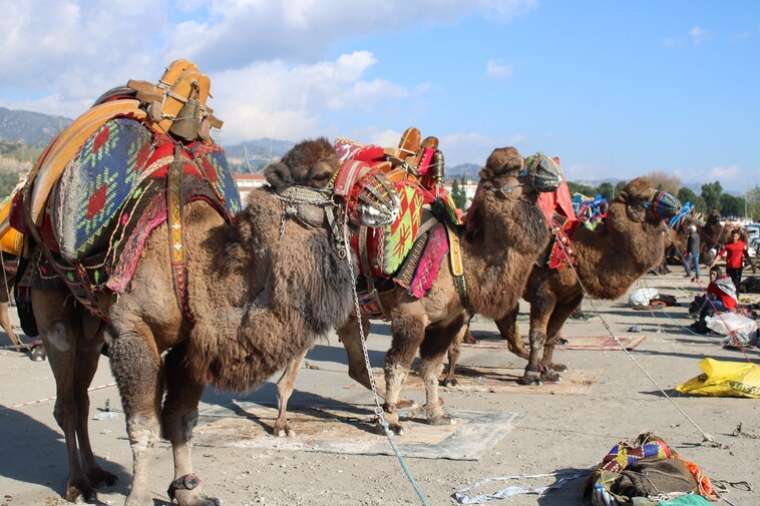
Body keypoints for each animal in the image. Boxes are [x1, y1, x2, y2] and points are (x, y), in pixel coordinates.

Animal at [27, 136, 394, 504]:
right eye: (321, 174)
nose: (384, 192)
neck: (196, 269)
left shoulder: (191, 343)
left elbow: (181, 418)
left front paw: (188, 491)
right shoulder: (132, 329)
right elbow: (144, 423)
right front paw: (140, 497)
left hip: (90, 329)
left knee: (82, 397)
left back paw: (97, 474)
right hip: (51, 305)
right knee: (67, 399)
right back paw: (78, 483)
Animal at [270, 146, 560, 434]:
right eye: (510, 168)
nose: (551, 171)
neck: (462, 261)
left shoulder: (448, 320)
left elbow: (431, 368)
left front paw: (436, 414)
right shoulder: (410, 313)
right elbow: (397, 366)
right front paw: (392, 421)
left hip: (352, 314)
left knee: (356, 364)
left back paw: (397, 403)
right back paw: (283, 422)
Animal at [442, 177, 680, 384]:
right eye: (642, 198)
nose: (675, 204)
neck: (578, 250)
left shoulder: (570, 298)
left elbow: (553, 335)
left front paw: (547, 371)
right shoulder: (544, 292)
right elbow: (538, 334)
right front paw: (531, 375)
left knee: (506, 327)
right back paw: (451, 375)